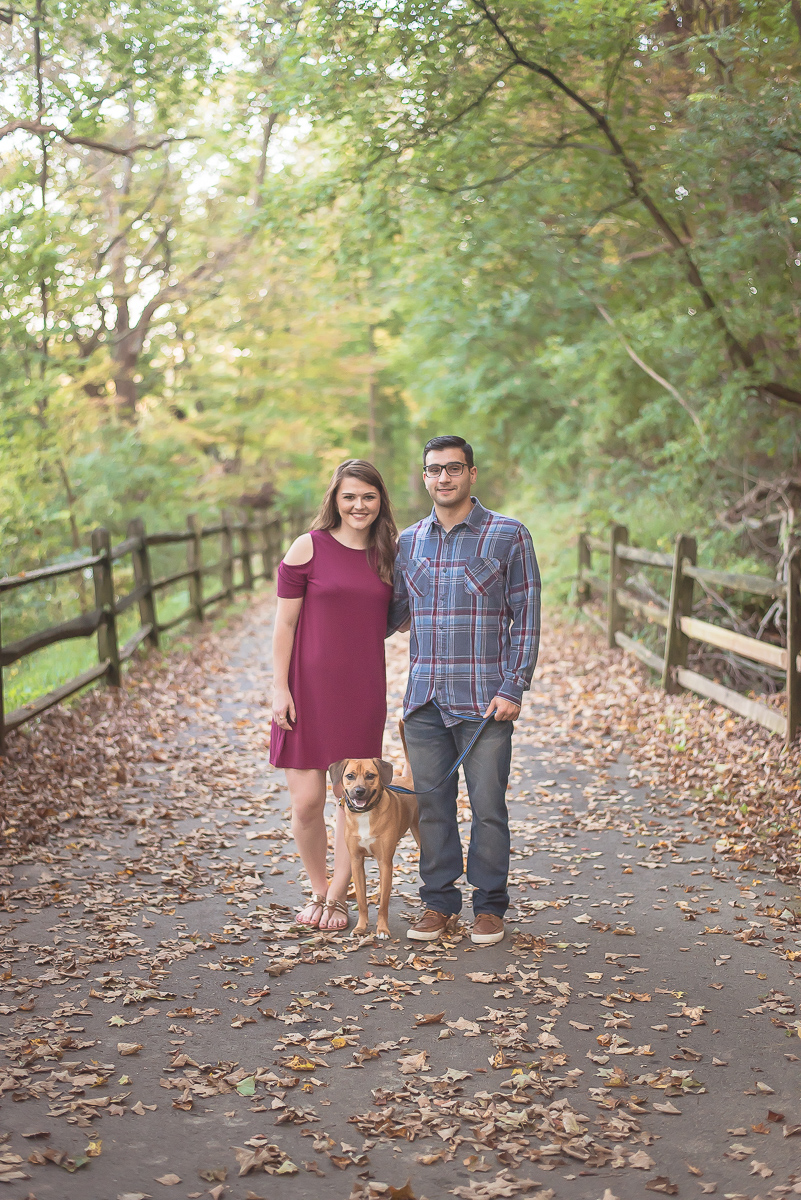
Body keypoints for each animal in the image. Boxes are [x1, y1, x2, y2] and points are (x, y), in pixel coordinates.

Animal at [330, 734, 422, 940]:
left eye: (370, 775)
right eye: (350, 776)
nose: (359, 791)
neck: (365, 814)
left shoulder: (385, 863)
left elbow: (384, 903)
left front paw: (382, 930)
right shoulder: (356, 861)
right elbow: (362, 900)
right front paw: (361, 927)